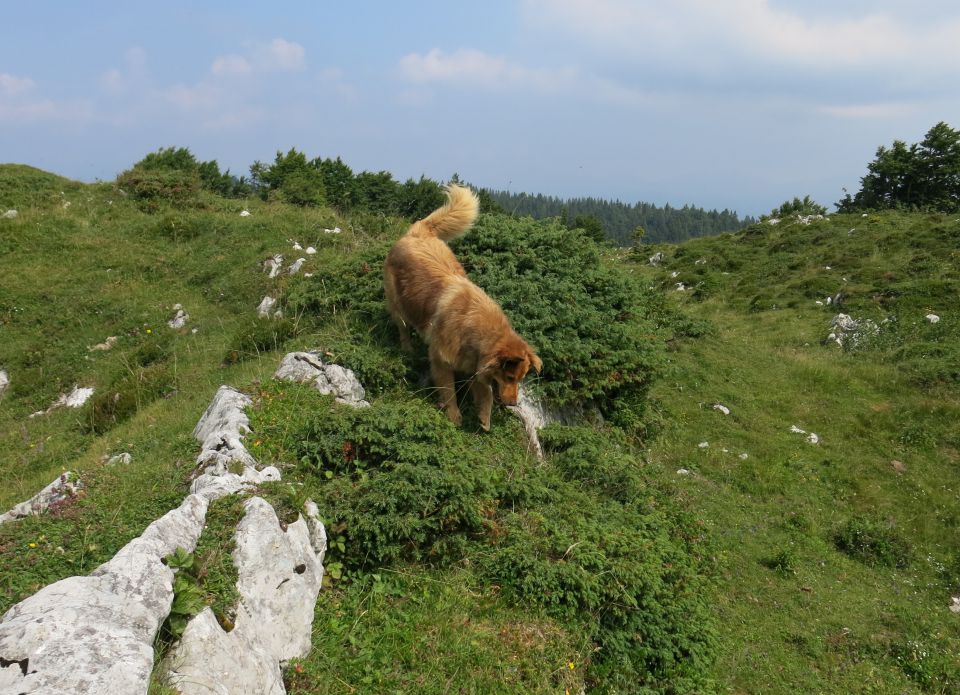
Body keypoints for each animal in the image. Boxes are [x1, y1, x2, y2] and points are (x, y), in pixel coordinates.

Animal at [386, 182, 544, 430]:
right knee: (403, 327)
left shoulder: (473, 365)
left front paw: (484, 419)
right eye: (510, 378)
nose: (512, 404)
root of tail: (419, 231)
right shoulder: (441, 360)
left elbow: (486, 393)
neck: (476, 332)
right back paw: (407, 349)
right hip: (398, 304)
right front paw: (454, 416)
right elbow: (449, 390)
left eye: (519, 379)